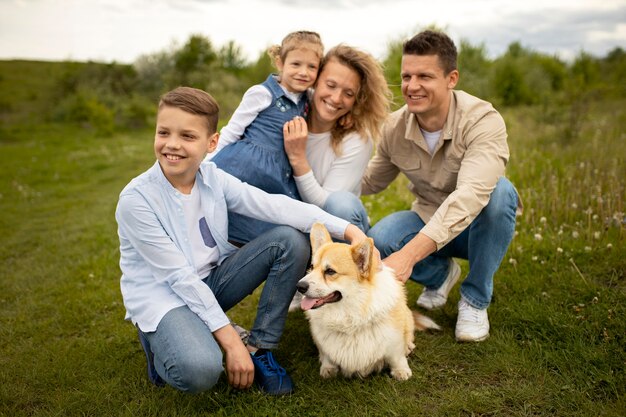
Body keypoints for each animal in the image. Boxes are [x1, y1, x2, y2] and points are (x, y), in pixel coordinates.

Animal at [294, 224, 436, 380]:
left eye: (330, 271)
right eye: (312, 267)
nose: (299, 286)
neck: (349, 316)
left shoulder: (394, 341)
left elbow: (396, 357)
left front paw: (401, 371)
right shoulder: (323, 344)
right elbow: (327, 356)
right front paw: (328, 369)